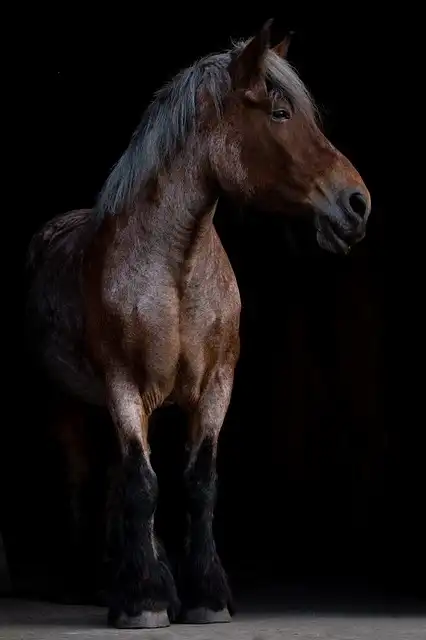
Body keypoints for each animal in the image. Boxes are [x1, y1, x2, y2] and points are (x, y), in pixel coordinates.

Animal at [26, 20, 372, 632]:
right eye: (280, 112)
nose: (357, 204)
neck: (176, 273)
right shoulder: (124, 389)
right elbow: (144, 485)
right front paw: (144, 602)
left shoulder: (215, 388)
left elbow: (197, 484)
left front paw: (203, 595)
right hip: (64, 403)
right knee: (83, 480)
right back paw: (91, 584)